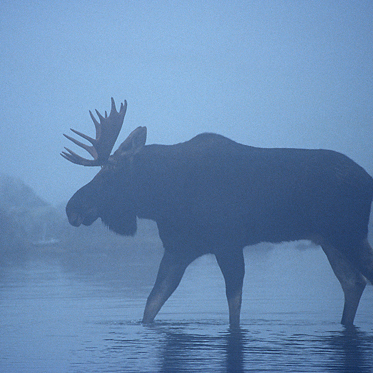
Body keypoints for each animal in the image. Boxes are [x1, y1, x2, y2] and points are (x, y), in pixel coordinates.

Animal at [62, 97, 372, 326]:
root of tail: (368, 180)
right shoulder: (178, 249)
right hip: (329, 239)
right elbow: (151, 305)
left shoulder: (228, 244)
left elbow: (234, 310)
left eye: (109, 174)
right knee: (353, 282)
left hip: (349, 234)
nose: (71, 207)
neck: (163, 198)